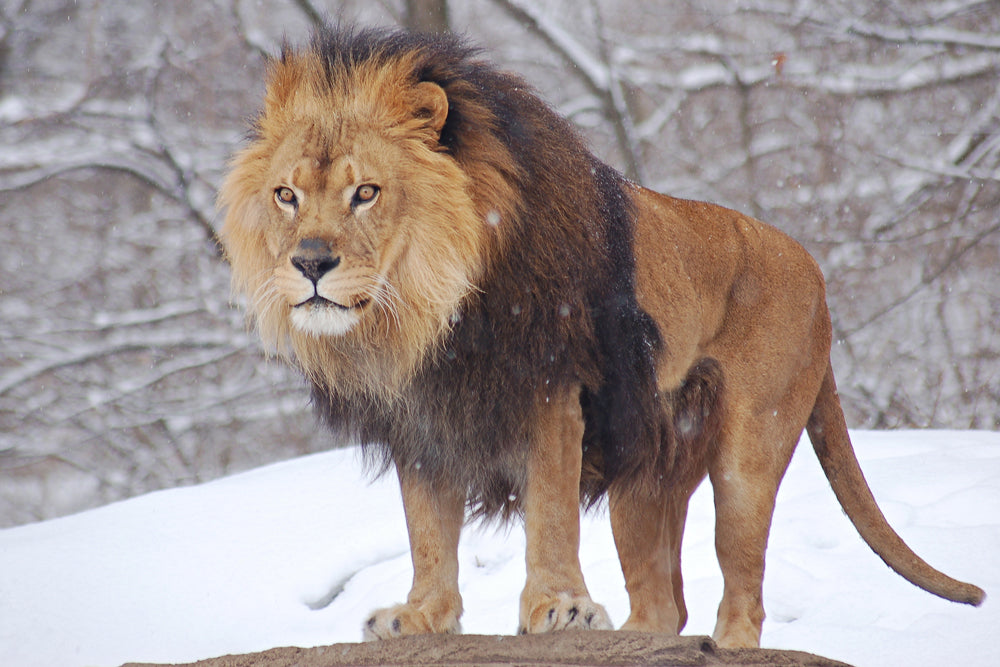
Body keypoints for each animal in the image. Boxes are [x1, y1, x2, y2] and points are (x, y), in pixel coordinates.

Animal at [221, 27, 984, 652]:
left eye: (366, 193)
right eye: (287, 195)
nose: (310, 263)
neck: (426, 314)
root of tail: (817, 275)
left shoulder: (551, 386)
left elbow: (551, 508)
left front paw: (558, 607)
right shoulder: (422, 420)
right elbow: (428, 531)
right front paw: (420, 616)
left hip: (749, 453)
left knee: (743, 589)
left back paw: (721, 640)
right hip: (644, 480)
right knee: (664, 604)